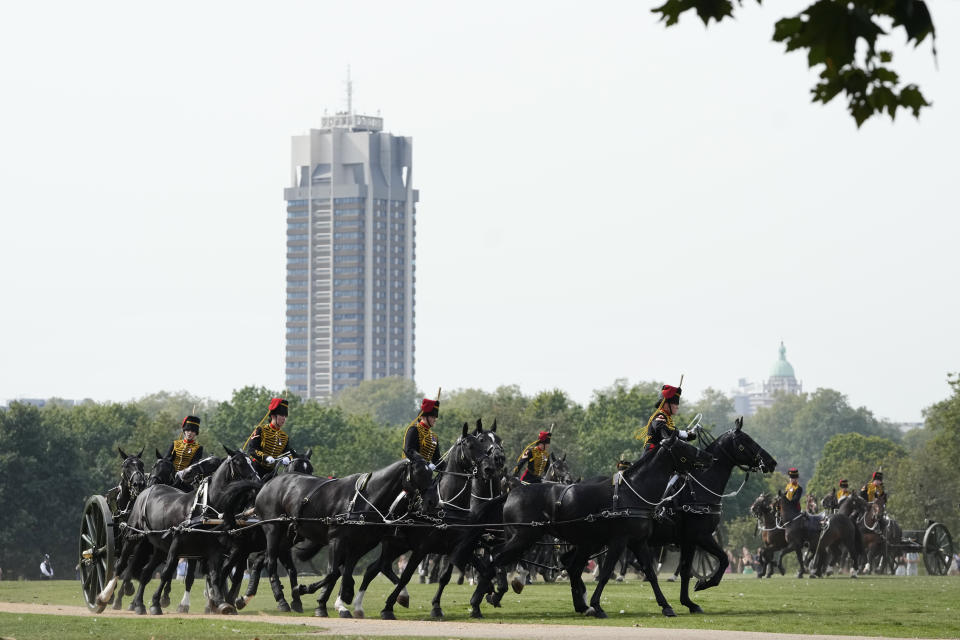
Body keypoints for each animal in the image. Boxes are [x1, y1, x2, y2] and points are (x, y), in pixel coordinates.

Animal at [101, 444, 260, 616]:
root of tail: (147, 490)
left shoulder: (213, 550)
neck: (203, 509)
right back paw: (106, 596)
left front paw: (219, 603)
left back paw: (138, 604)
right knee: (122, 564)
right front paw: (157, 603)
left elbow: (215, 575)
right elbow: (167, 573)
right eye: (238, 462)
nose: (257, 480)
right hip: (134, 537)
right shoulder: (177, 546)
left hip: (158, 546)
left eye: (251, 461)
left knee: (145, 572)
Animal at [255, 450, 436, 616]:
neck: (364, 500)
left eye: (431, 472)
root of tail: (269, 484)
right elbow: (333, 572)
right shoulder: (337, 541)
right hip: (273, 529)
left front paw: (341, 600)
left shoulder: (359, 546)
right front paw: (309, 592)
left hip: (289, 535)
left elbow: (345, 573)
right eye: (420, 472)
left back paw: (295, 601)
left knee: (281, 563)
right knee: (271, 562)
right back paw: (282, 600)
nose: (432, 502)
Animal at [474, 432, 712, 616]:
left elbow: (651, 573)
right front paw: (597, 605)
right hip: (523, 538)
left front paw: (666, 606)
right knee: (496, 557)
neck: (633, 492)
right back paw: (481, 600)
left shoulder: (637, 542)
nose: (708, 457)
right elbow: (606, 572)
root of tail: (512, 491)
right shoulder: (619, 541)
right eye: (684, 446)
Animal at [648, 418, 776, 612]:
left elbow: (686, 570)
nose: (771, 462)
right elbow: (723, 559)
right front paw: (703, 584)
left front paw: (689, 602)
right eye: (746, 441)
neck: (699, 488)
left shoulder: (690, 541)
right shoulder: (700, 537)